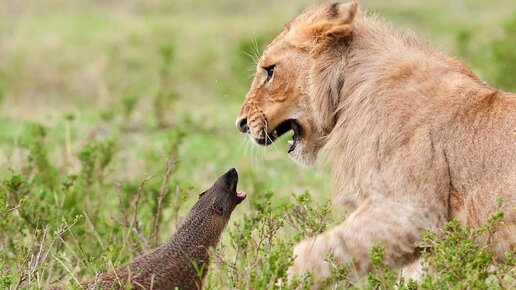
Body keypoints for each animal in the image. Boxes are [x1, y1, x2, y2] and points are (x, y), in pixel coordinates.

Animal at [235, 0, 516, 284]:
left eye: (270, 71)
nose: (241, 123)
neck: (348, 88)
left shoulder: (412, 212)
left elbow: (316, 252)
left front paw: (275, 279)